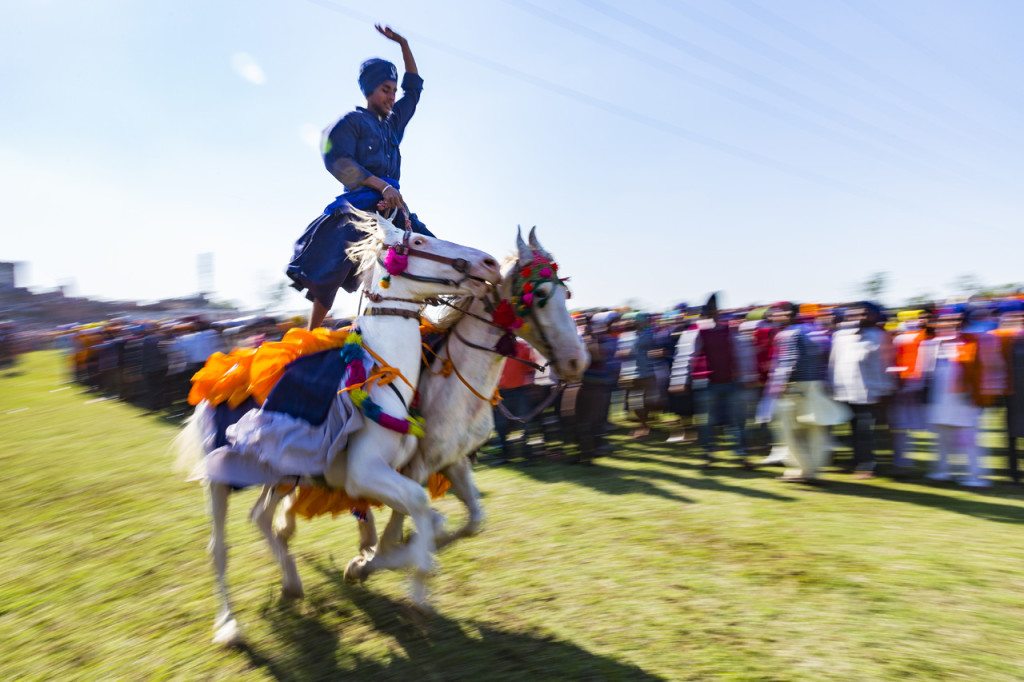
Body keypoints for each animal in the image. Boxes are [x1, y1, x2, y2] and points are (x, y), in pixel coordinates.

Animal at [179, 209, 499, 647]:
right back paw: (228, 626)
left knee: (261, 518)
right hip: (219, 479)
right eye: (417, 241)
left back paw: (292, 584)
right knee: (219, 547)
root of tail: (214, 376)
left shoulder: (381, 476)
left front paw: (386, 564)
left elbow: (429, 516)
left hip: (280, 474)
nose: (490, 263)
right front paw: (401, 569)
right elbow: (420, 504)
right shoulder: (364, 473)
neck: (381, 376)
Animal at [278, 228, 585, 589]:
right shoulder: (416, 466)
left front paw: (404, 552)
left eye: (566, 293)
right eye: (539, 293)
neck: (462, 385)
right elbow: (399, 524)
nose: (576, 361)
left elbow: (473, 520)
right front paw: (372, 561)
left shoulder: (454, 461)